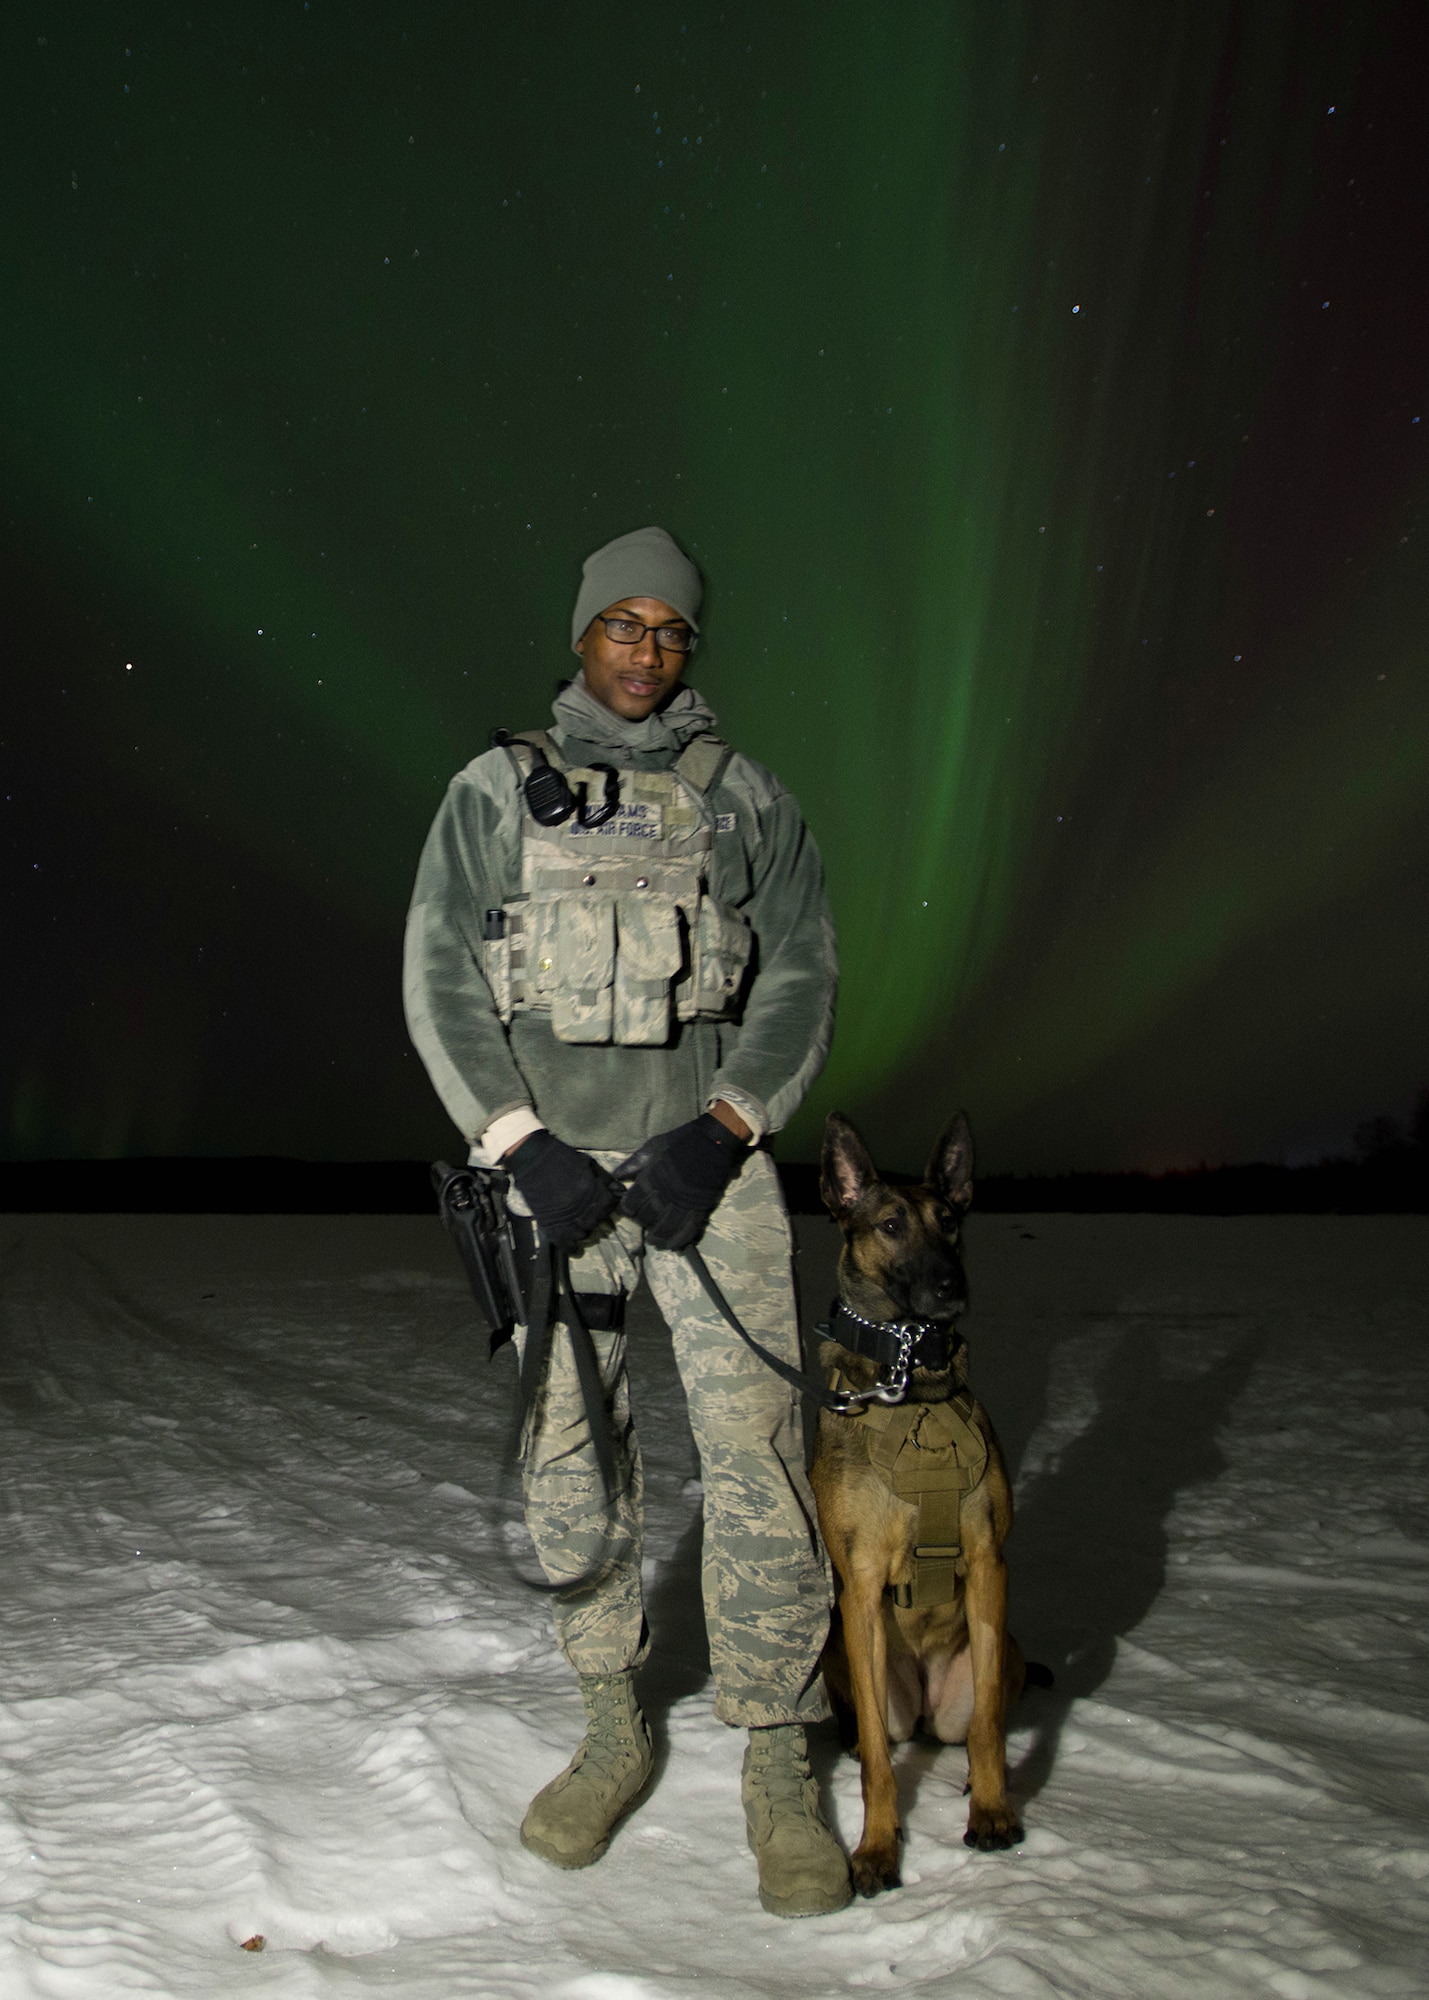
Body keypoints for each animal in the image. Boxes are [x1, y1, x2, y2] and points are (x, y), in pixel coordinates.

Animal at [800, 1120, 1024, 1896]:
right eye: (891, 1225)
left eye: (950, 1221)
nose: (950, 1285)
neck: (910, 1377)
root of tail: (925, 1709)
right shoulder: (862, 1588)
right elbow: (875, 1757)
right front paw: (874, 1848)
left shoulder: (988, 1565)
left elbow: (987, 1726)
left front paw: (992, 1810)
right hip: (848, 1657)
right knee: (877, 1732)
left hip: (997, 1663)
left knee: (974, 1721)